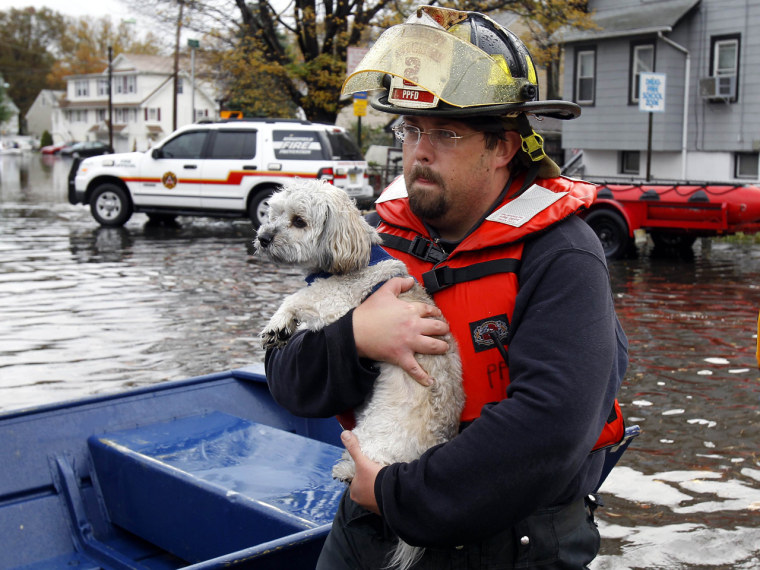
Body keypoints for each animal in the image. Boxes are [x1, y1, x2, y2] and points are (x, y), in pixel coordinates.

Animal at [255, 179, 464, 568]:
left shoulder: (336, 300)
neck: (358, 259)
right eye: (272, 213)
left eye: (298, 221)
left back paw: (346, 471)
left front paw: (278, 321)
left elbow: (299, 295)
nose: (262, 237)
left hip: (375, 441)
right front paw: (281, 328)